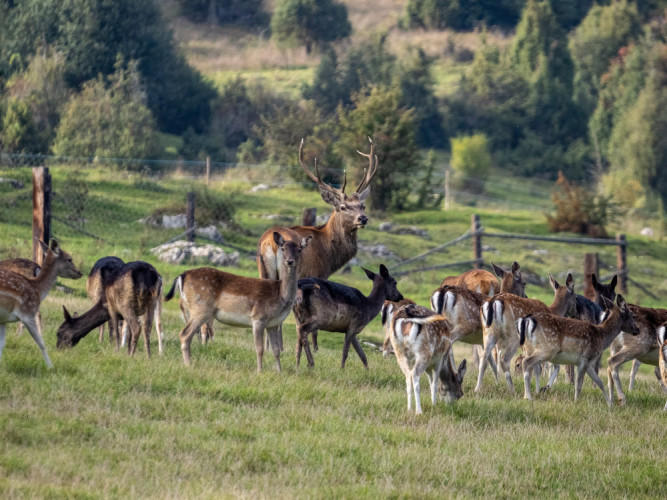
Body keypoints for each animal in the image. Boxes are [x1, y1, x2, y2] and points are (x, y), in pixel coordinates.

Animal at [0, 239, 83, 368]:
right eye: (69, 259)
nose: (80, 273)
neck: (37, 288)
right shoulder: (27, 312)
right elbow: (41, 343)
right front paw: (50, 367)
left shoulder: (4, 319)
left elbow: (2, 344)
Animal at [167, 231, 314, 372]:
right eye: (283, 249)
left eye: (299, 249)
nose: (290, 261)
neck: (280, 296)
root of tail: (182, 276)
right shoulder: (258, 317)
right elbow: (259, 348)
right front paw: (259, 371)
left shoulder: (273, 324)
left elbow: (276, 350)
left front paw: (279, 372)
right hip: (201, 309)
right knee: (184, 334)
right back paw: (188, 365)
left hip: (192, 310)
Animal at [258, 137, 378, 352]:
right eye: (343, 207)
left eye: (362, 205)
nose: (362, 218)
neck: (329, 253)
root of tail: (268, 242)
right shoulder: (318, 274)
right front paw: (316, 348)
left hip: (263, 269)